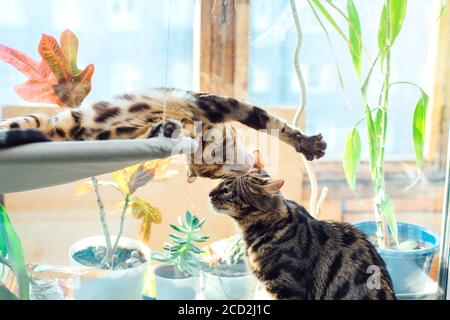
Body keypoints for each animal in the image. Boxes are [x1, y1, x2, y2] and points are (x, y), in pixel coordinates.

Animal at [0, 89, 326, 181]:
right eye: (214, 171)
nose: (237, 169)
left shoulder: (215, 103)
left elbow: (270, 122)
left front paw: (305, 142)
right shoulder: (213, 103)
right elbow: (266, 119)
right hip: (37, 120)